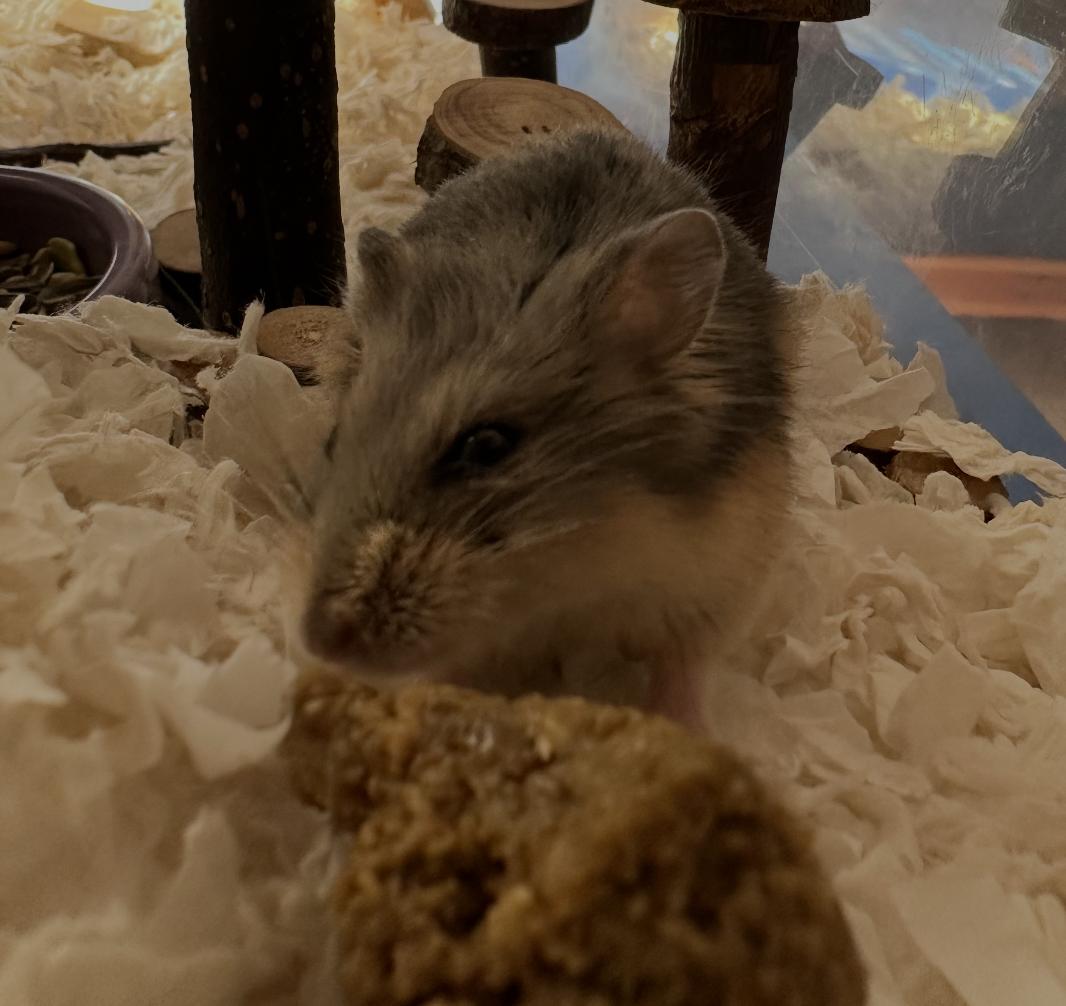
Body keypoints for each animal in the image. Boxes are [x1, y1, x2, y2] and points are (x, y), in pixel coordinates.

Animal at [300, 128, 795, 724]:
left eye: (487, 446)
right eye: (331, 442)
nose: (319, 640)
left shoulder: (715, 586)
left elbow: (682, 673)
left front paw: (683, 728)